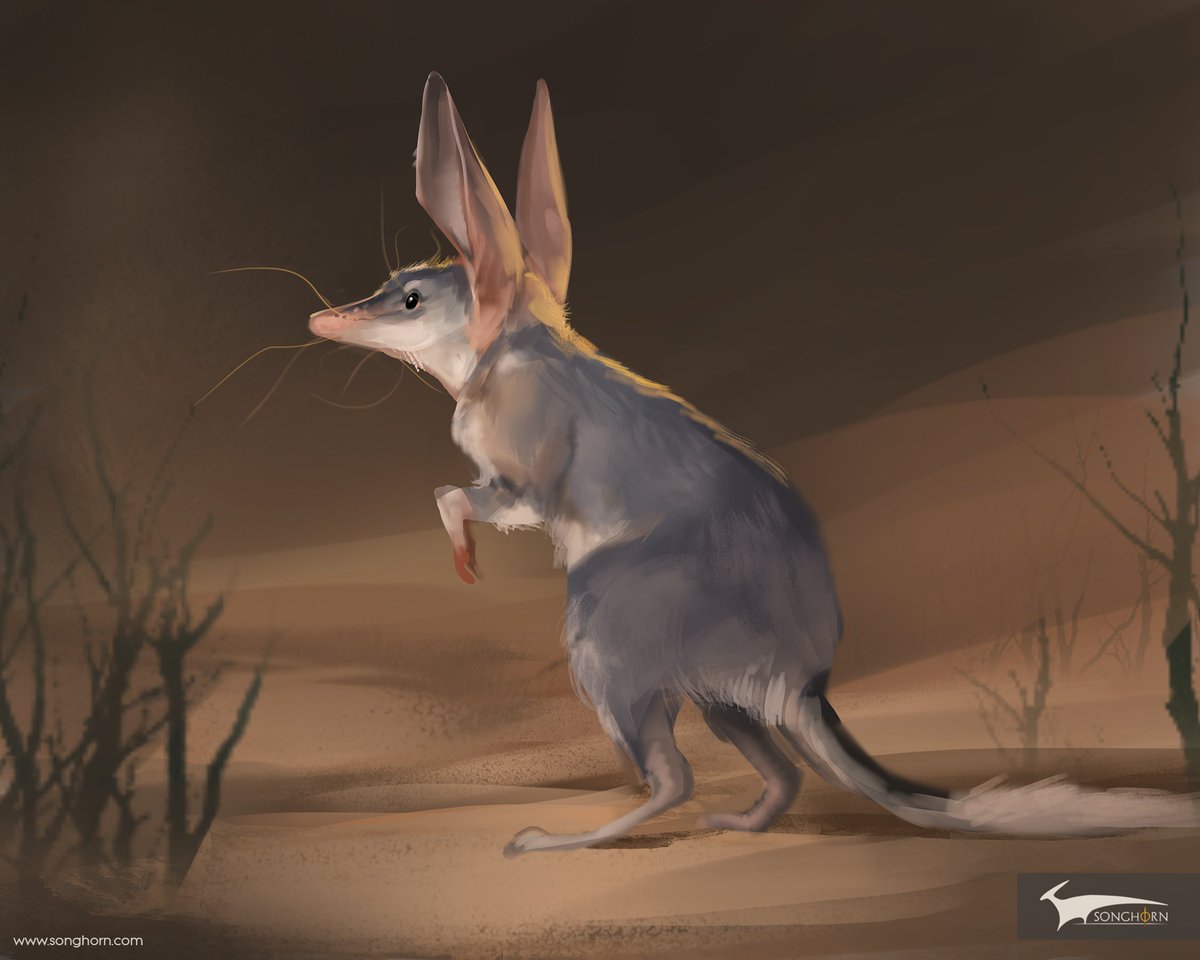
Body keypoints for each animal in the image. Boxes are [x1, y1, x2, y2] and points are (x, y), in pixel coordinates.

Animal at [307, 74, 1200, 855]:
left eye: (411, 300)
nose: (322, 321)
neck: (503, 349)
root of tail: (804, 683)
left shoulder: (524, 478)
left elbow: (461, 494)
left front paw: (463, 557)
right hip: (717, 697)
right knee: (778, 770)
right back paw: (741, 824)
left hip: (610, 629)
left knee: (673, 778)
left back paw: (553, 842)